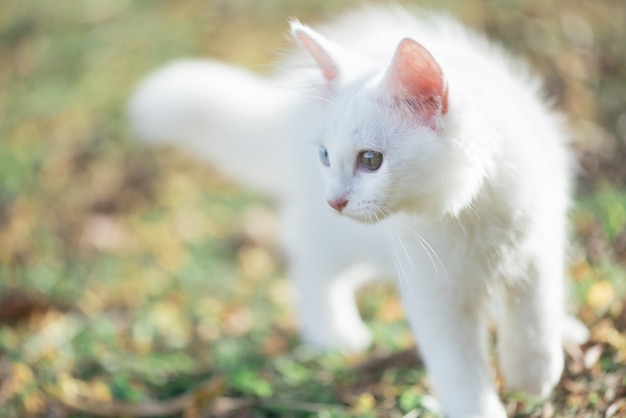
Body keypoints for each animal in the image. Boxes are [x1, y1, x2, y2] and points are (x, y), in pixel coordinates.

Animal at [129, 4, 588, 416]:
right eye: (325, 156)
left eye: (370, 160)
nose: (334, 200)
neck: (466, 214)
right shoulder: (435, 295)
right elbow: (462, 374)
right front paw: (487, 405)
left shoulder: (535, 252)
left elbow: (534, 323)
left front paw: (533, 375)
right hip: (334, 239)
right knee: (311, 271)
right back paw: (334, 333)